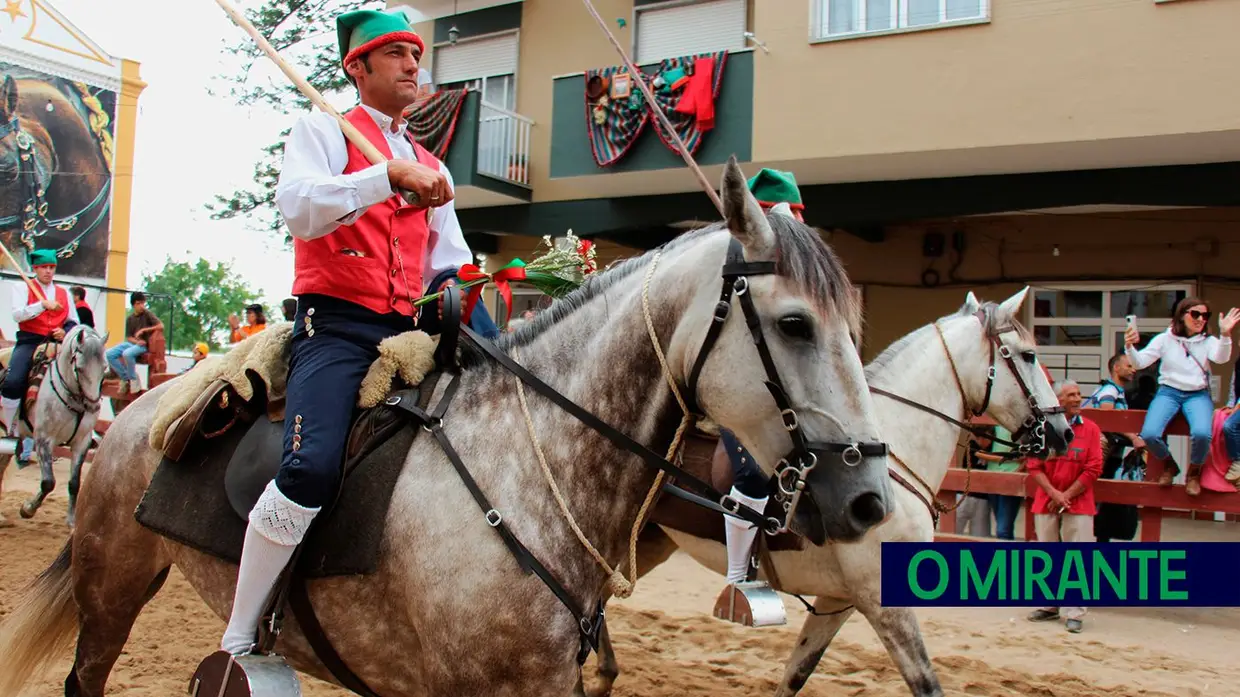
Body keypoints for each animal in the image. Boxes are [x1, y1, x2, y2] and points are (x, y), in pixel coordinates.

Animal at [0, 322, 107, 523]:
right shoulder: (44, 439)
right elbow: (48, 483)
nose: (93, 406)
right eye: (80, 368)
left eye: (104, 368)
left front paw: (72, 520)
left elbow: (74, 483)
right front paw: (28, 509)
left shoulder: (82, 442)